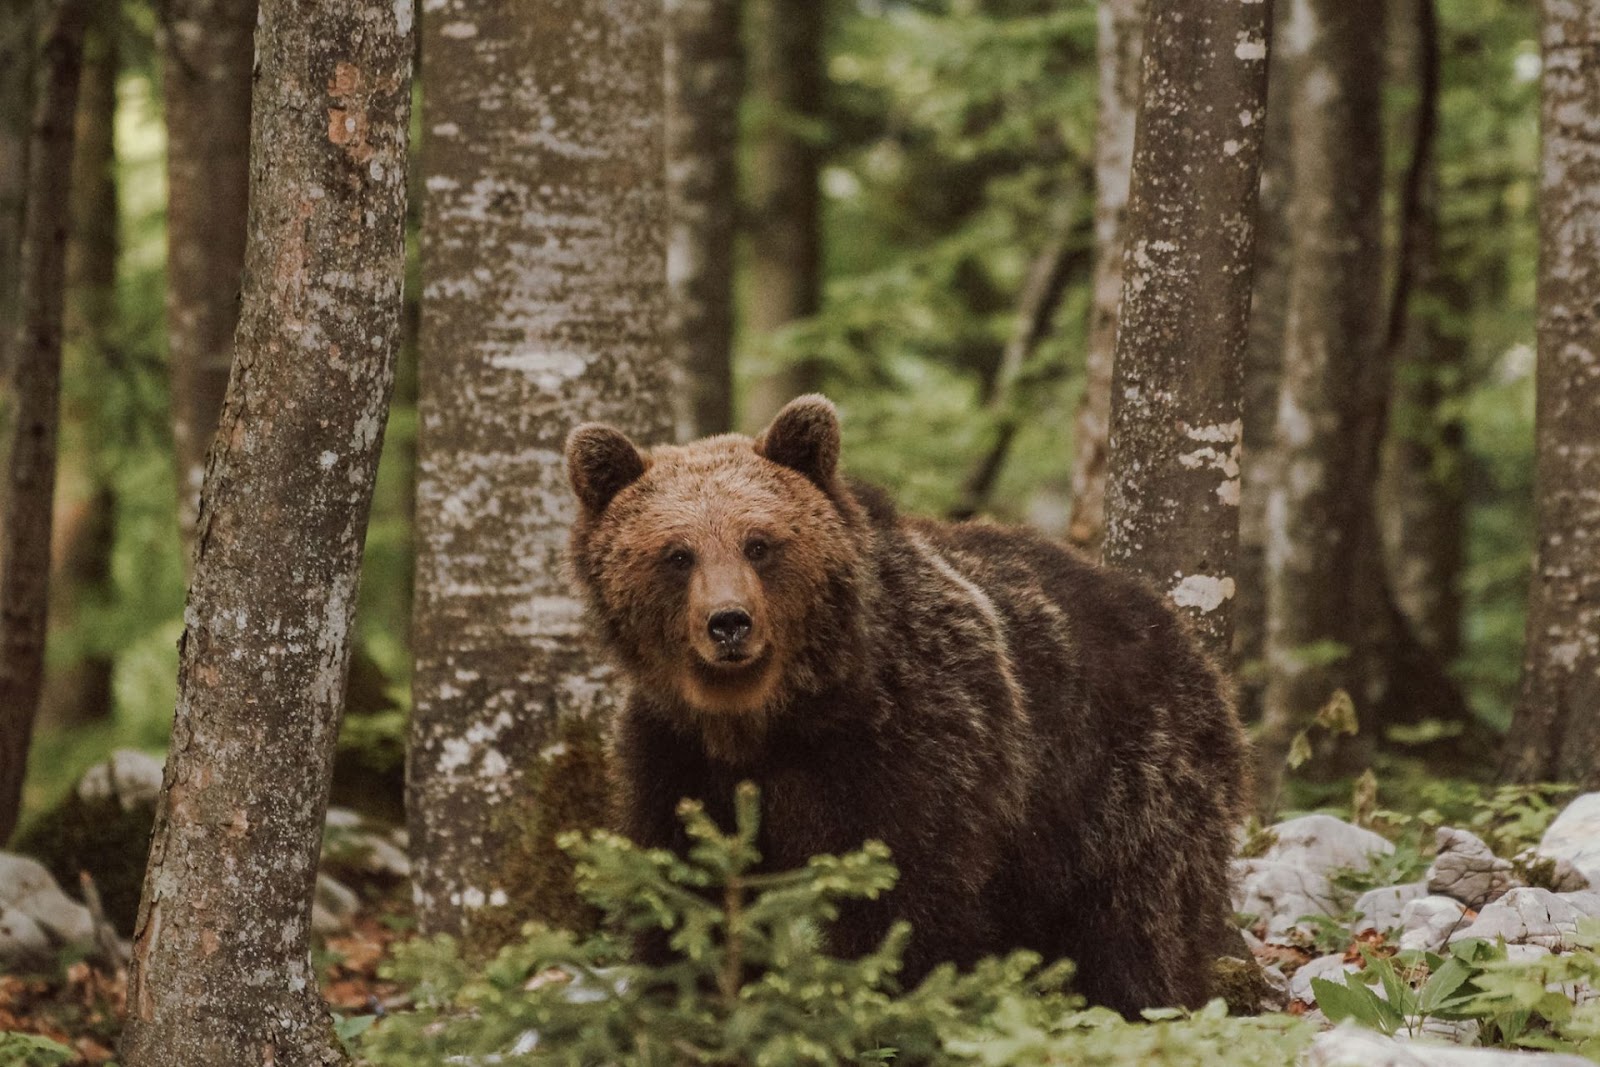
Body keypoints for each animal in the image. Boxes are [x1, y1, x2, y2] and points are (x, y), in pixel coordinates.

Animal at [563, 396, 1248, 1017]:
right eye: (677, 554)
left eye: (759, 543)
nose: (729, 622)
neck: (768, 718)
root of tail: (1173, 627)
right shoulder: (678, 757)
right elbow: (685, 895)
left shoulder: (916, 735)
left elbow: (908, 894)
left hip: (1125, 778)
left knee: (1140, 921)